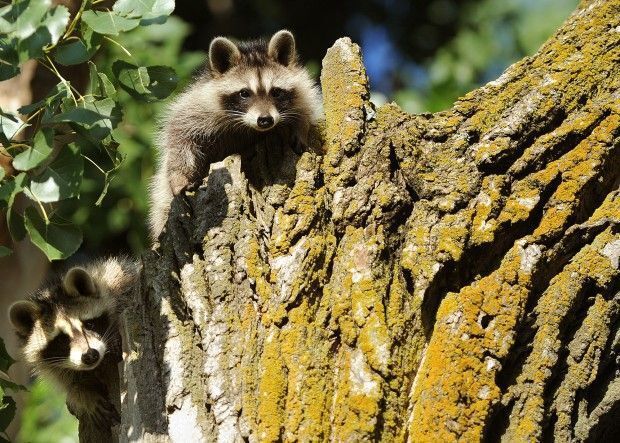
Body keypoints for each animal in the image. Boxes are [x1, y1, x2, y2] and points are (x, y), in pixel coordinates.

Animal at [8, 256, 139, 430]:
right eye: (62, 339)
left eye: (89, 324)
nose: (90, 355)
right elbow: (70, 381)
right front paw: (80, 392)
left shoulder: (121, 280)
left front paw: (114, 338)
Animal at [148, 29, 322, 239]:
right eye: (244, 93)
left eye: (276, 92)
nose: (265, 120)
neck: (248, 127)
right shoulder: (197, 104)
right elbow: (178, 135)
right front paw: (179, 176)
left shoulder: (302, 88)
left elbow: (308, 107)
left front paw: (301, 128)